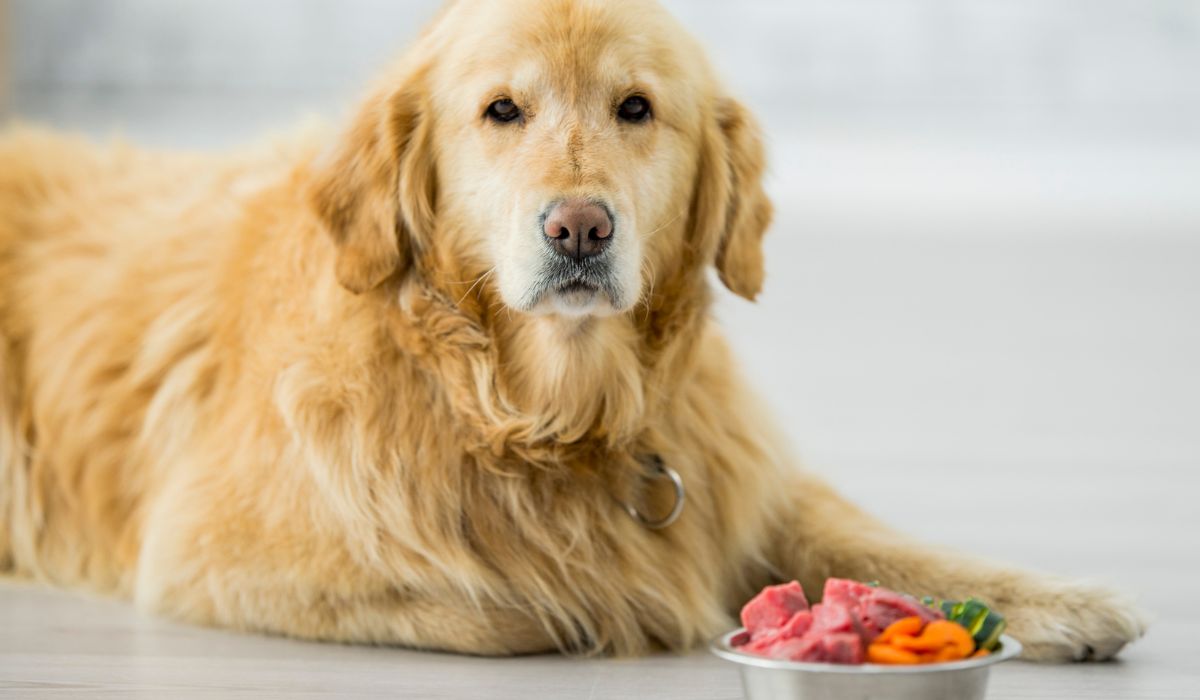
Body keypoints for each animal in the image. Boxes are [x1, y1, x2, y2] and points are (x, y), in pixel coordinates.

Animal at [0, 0, 1142, 662]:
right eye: (501, 110)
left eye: (636, 108)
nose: (580, 227)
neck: (544, 414)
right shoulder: (212, 554)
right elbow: (518, 600)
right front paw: (614, 602)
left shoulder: (742, 482)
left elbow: (881, 544)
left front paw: (1062, 601)